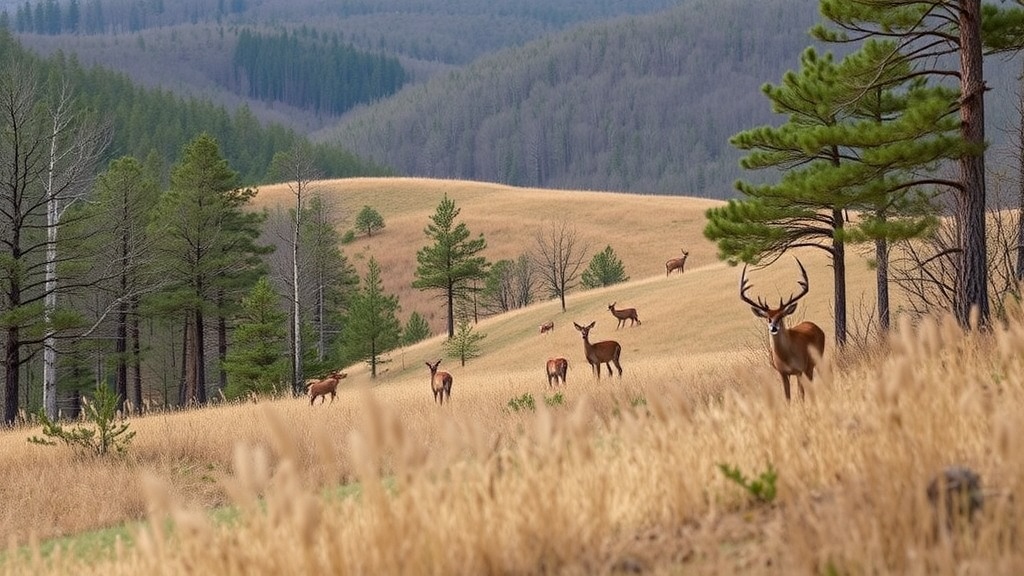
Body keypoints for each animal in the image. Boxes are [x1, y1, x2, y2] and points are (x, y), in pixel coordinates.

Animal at [739, 258, 826, 402]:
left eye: (781, 316)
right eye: (768, 318)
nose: (773, 327)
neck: (787, 357)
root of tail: (814, 325)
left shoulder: (799, 369)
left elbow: (801, 395)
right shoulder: (782, 372)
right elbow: (787, 398)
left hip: (815, 361)